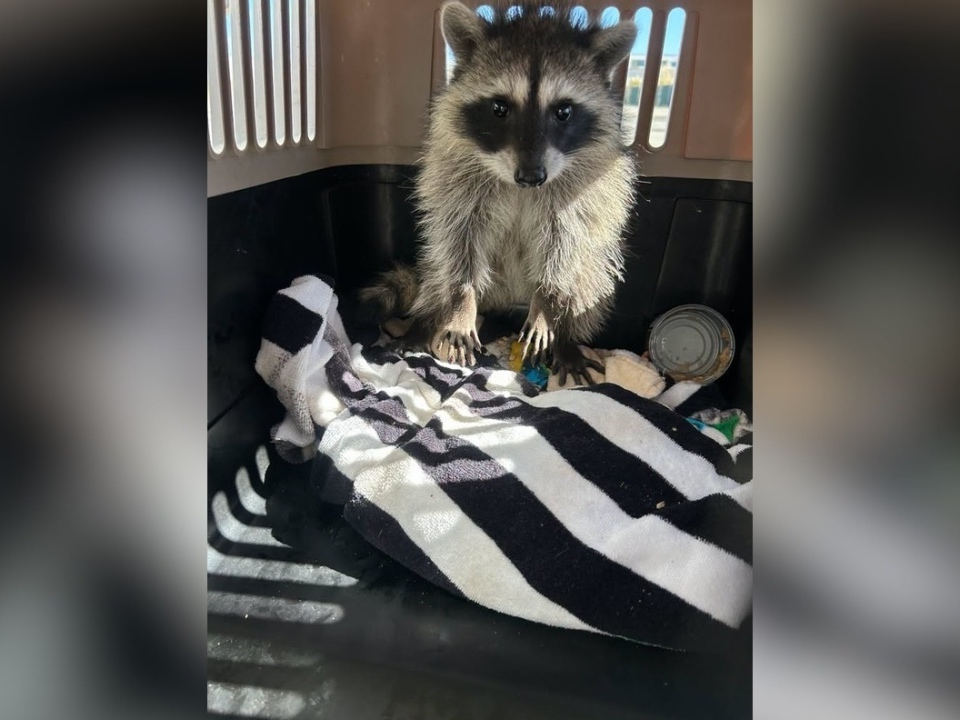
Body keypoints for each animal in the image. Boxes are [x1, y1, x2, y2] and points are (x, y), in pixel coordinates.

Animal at [360, 1, 638, 385]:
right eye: (499, 108)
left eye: (564, 111)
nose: (532, 176)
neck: (518, 184)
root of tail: (506, 300)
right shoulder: (455, 182)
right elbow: (459, 242)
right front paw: (461, 302)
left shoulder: (579, 195)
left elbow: (563, 248)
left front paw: (546, 305)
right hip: (444, 269)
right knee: (436, 273)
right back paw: (426, 323)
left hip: (593, 267)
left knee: (586, 281)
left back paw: (566, 337)